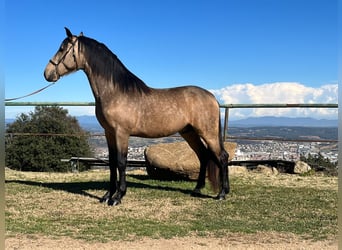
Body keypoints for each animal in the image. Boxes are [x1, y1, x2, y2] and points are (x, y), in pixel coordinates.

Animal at [43, 28, 230, 206]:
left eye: (62, 48)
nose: (47, 73)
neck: (115, 92)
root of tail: (212, 97)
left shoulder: (121, 133)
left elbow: (121, 162)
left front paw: (118, 197)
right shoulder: (109, 133)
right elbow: (111, 163)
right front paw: (107, 195)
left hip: (207, 132)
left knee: (222, 157)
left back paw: (222, 193)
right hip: (189, 132)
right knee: (203, 156)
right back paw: (197, 189)